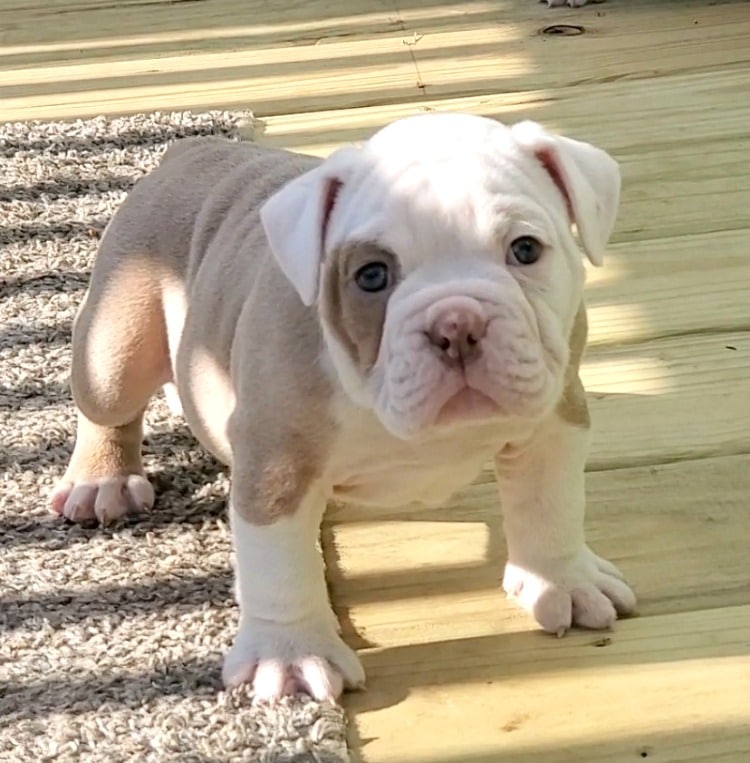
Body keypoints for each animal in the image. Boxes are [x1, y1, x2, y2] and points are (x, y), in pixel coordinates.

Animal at [50, 113, 636, 704]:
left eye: (525, 250)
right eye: (371, 276)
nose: (457, 324)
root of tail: (188, 151)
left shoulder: (553, 421)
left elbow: (549, 506)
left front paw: (564, 581)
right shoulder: (277, 462)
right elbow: (280, 564)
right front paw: (289, 656)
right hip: (116, 345)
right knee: (107, 406)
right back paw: (102, 480)